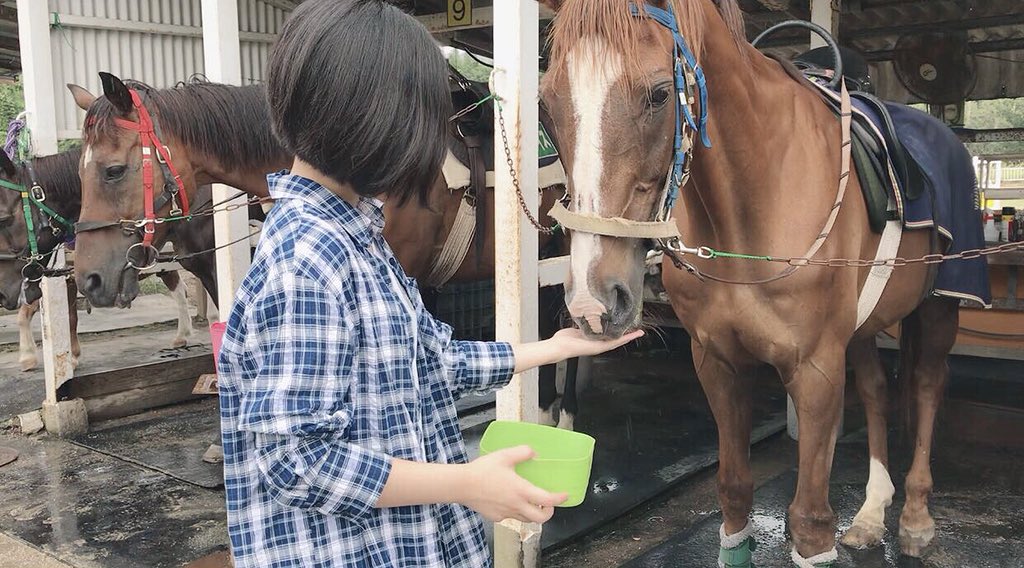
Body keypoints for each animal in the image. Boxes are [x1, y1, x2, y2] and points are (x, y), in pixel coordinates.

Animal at [540, 0, 988, 564]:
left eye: (660, 94)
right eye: (546, 103)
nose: (592, 302)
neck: (755, 203)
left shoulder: (815, 369)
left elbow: (810, 523)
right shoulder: (717, 361)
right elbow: (733, 490)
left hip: (939, 306)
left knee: (928, 386)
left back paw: (914, 518)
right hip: (863, 326)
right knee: (876, 389)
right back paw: (870, 513)